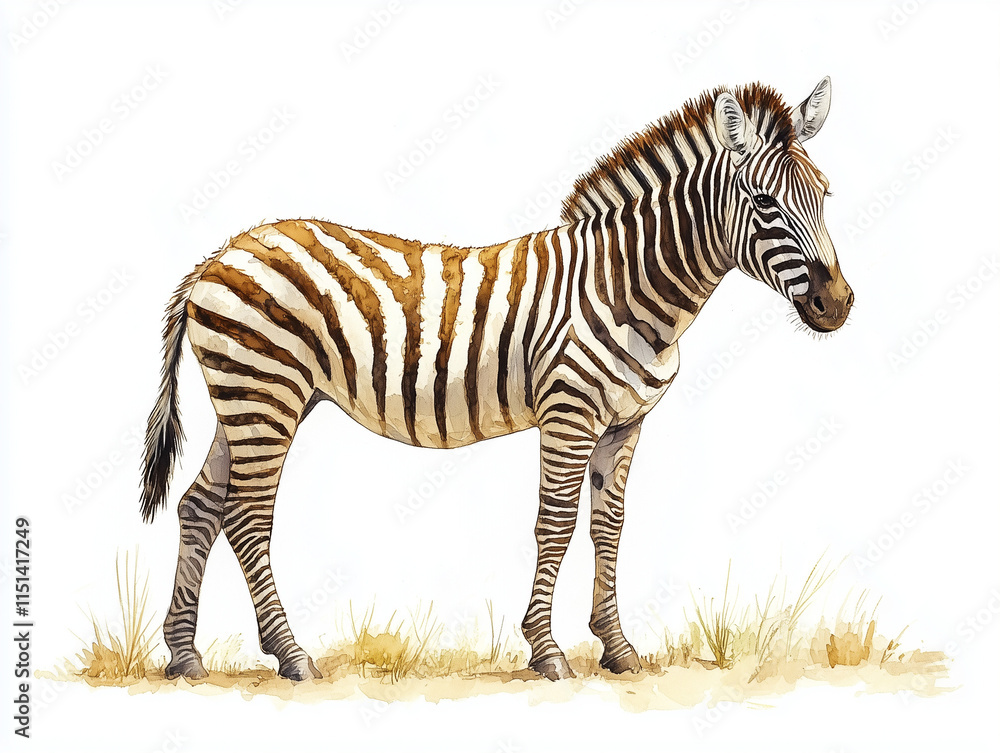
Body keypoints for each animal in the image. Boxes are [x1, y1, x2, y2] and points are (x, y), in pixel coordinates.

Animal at [142, 78, 852, 682]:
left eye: (825, 195)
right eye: (763, 203)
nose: (839, 305)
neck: (626, 285)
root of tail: (217, 254)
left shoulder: (626, 422)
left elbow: (610, 525)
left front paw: (618, 648)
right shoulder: (569, 412)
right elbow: (556, 522)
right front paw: (547, 651)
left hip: (248, 400)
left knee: (201, 506)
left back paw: (185, 656)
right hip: (266, 393)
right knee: (248, 516)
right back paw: (291, 655)